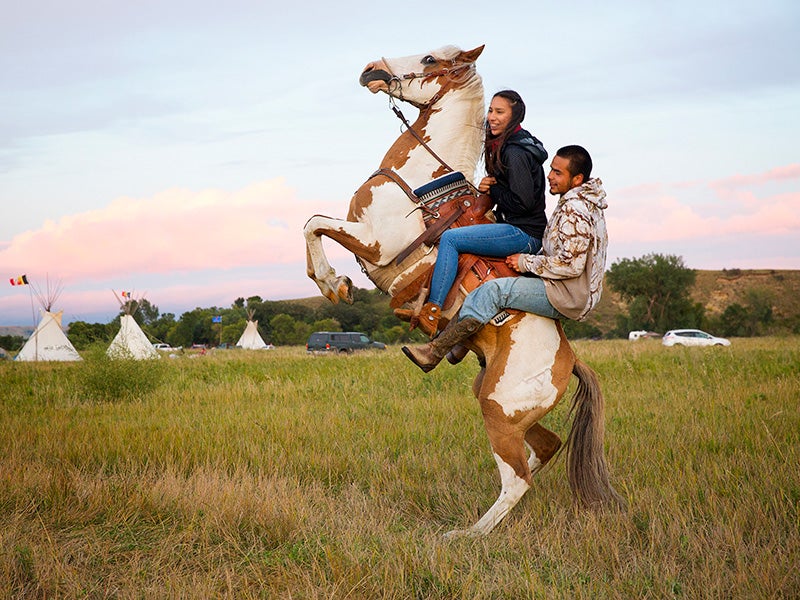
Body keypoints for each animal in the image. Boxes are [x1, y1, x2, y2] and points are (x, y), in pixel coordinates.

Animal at [304, 44, 620, 536]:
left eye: (430, 59)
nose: (371, 69)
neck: (425, 183)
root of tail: (570, 362)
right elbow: (312, 224)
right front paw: (334, 283)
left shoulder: (373, 241)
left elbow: (313, 223)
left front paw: (334, 285)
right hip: (499, 404)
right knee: (546, 448)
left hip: (498, 411)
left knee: (517, 479)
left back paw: (467, 535)